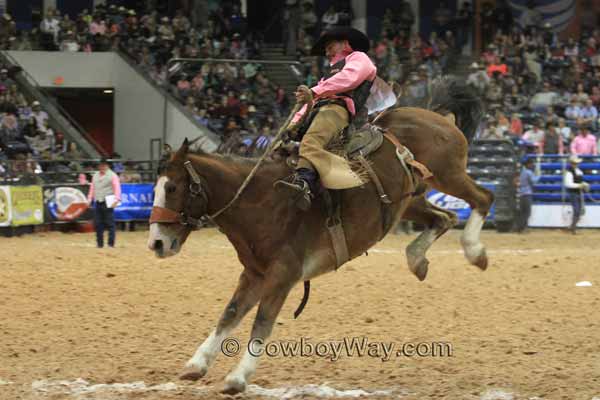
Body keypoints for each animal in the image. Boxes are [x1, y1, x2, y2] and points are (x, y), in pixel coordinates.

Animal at [145, 79, 492, 394]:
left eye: (172, 188)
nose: (157, 243)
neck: (261, 199)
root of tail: (434, 114)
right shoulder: (254, 274)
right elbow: (229, 314)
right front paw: (197, 363)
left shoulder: (283, 274)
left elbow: (262, 320)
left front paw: (237, 377)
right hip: (408, 202)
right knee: (443, 217)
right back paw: (418, 258)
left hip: (449, 175)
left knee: (482, 199)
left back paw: (475, 251)